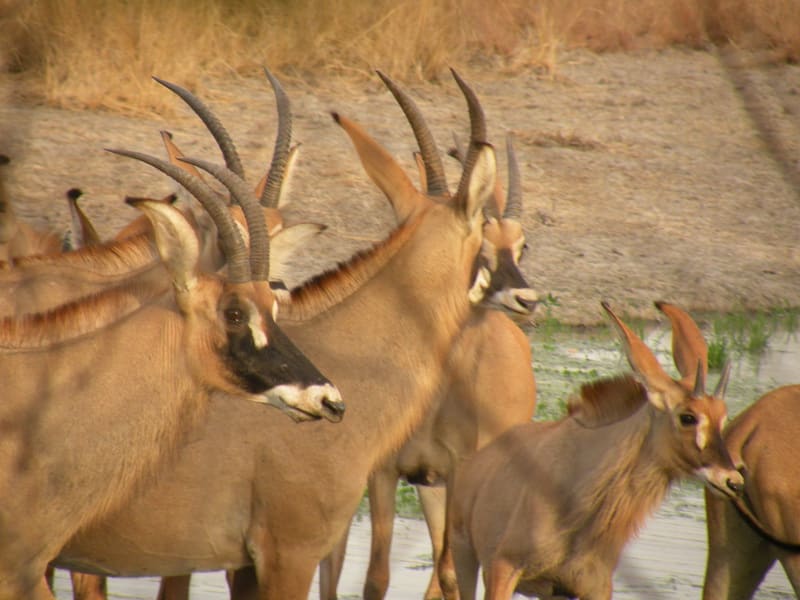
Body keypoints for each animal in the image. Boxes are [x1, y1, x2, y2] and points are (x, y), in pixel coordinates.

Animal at [318, 71, 536, 600]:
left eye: (521, 244)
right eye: (482, 241)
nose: (526, 299)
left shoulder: (460, 471)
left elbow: (452, 573)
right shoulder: (385, 470)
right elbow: (377, 577)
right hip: (429, 487)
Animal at [450, 302, 744, 596]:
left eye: (723, 418)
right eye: (688, 417)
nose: (733, 481)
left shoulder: (591, 586)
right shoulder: (503, 567)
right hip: (465, 553)